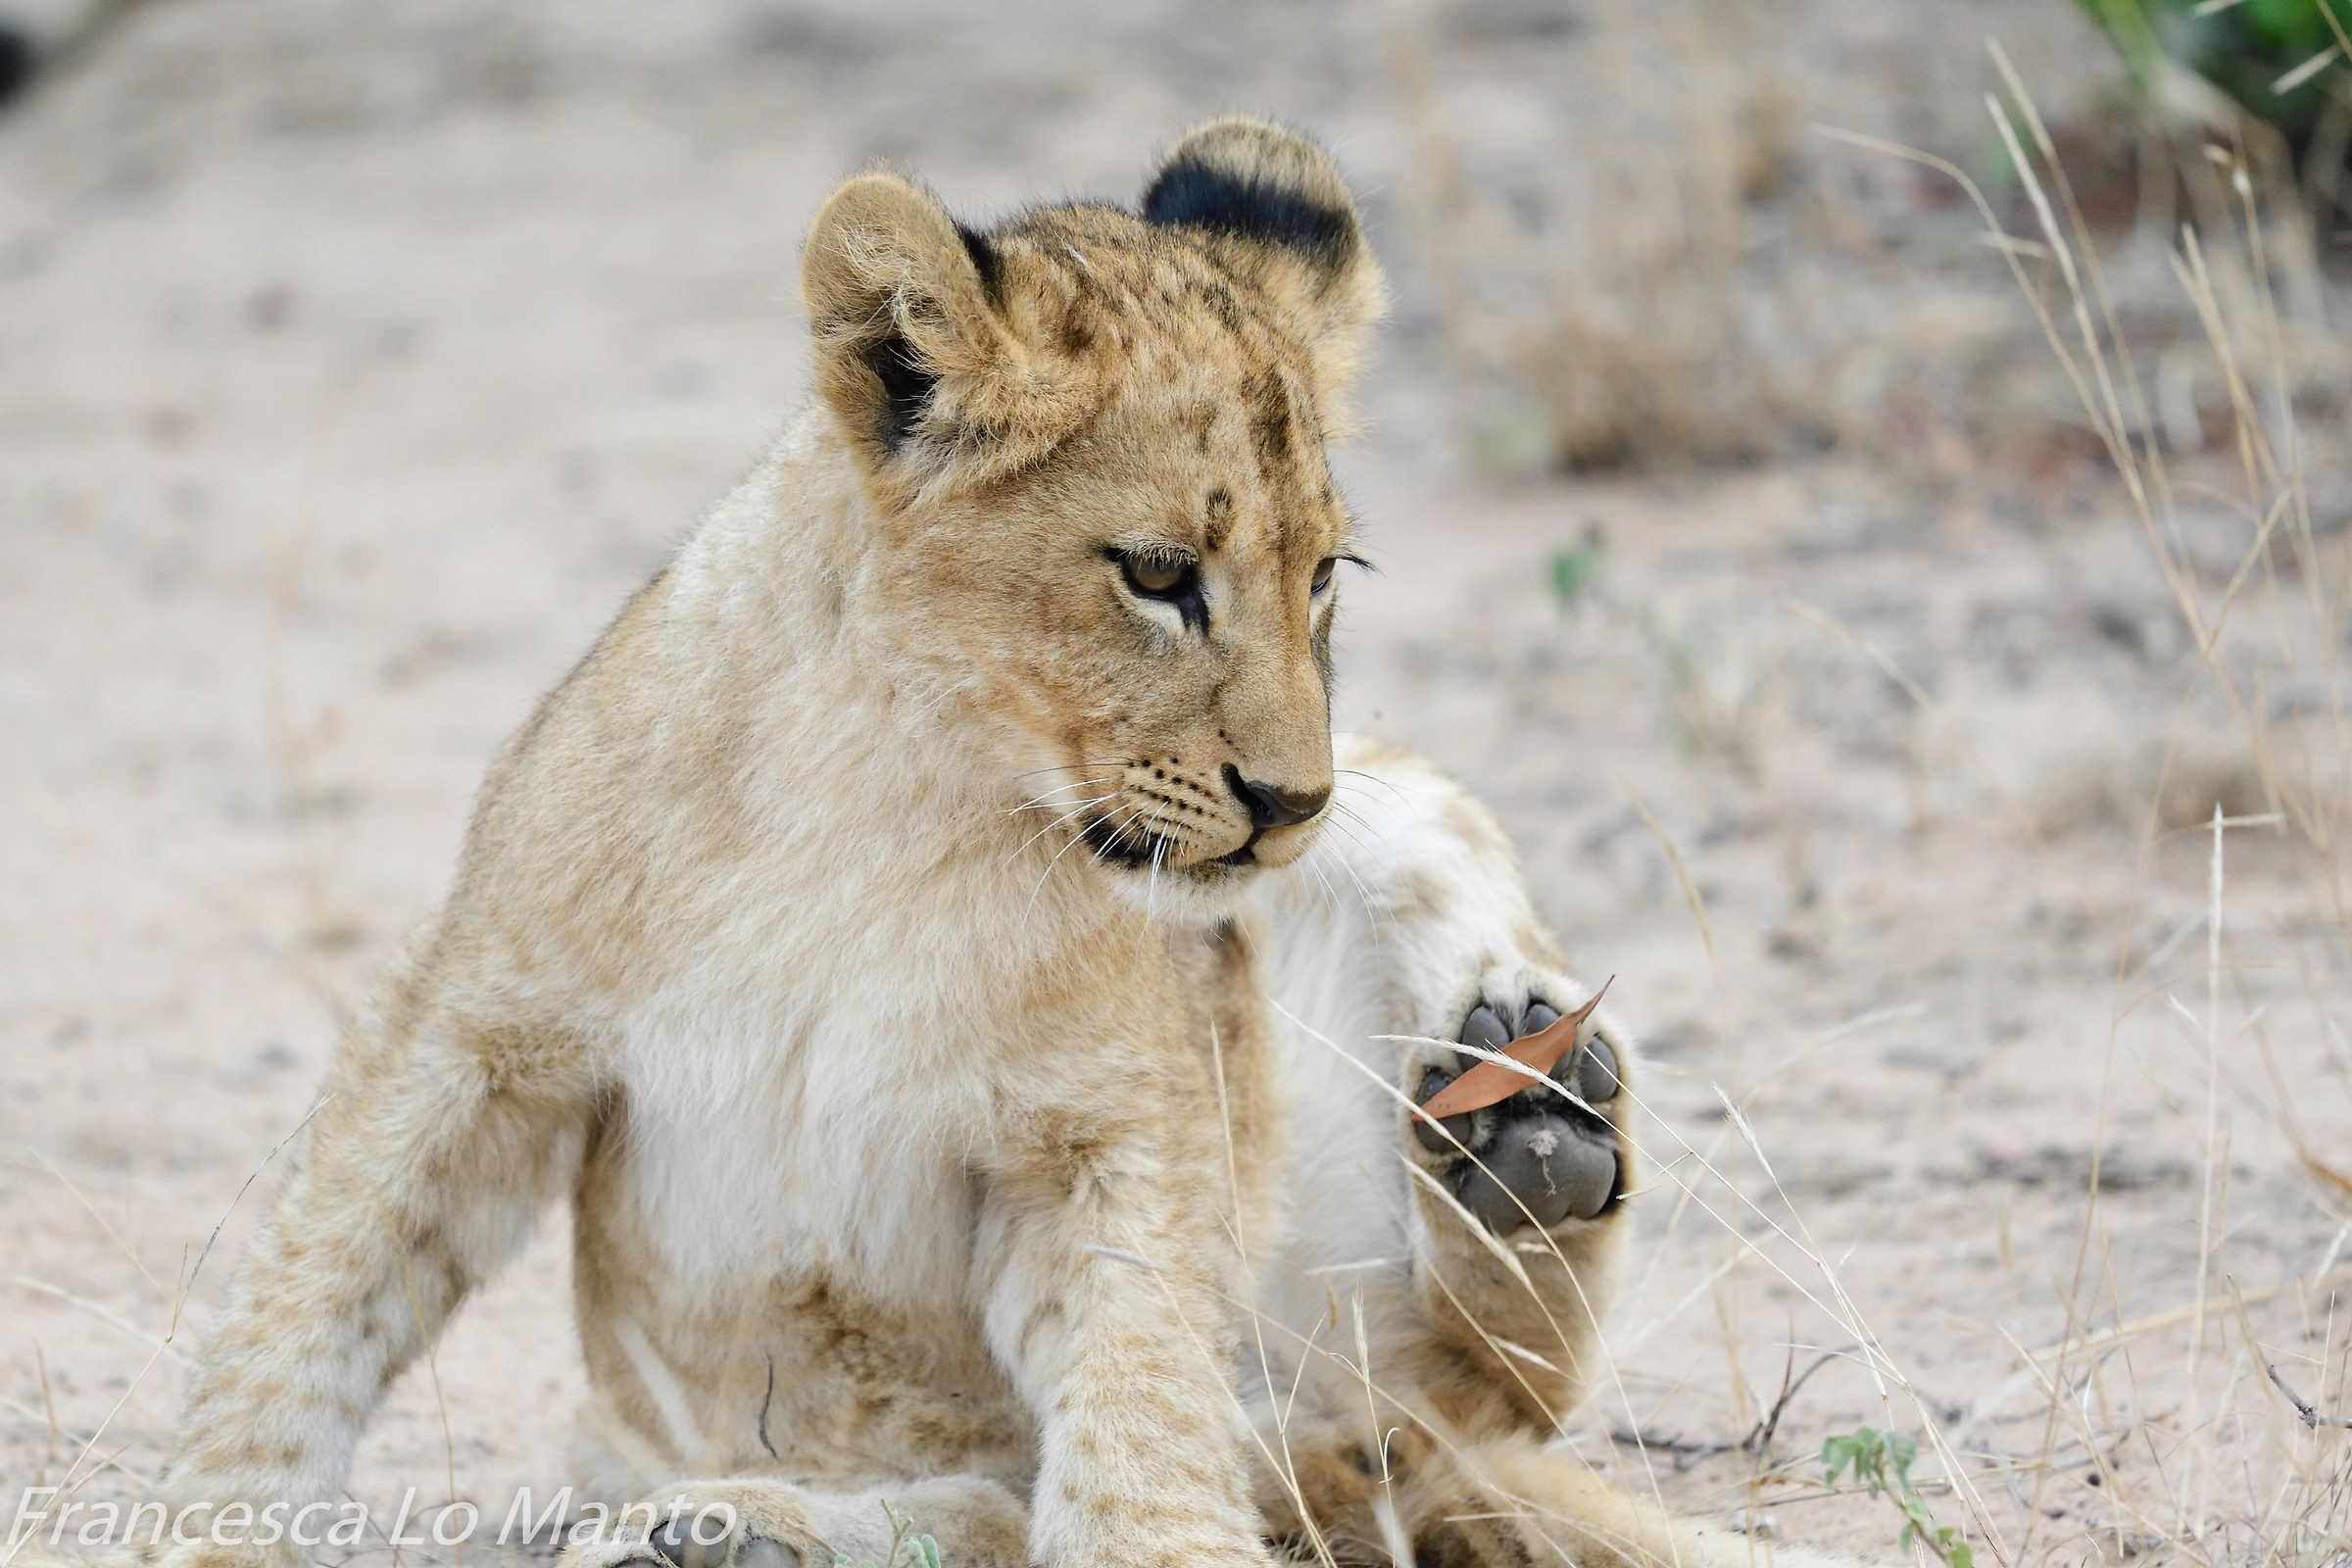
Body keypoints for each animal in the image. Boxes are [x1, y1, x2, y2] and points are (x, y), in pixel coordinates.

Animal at [145, 120, 1855, 1568]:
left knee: (1449, 1396)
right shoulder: (477, 1025)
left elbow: (1140, 1414)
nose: (1286, 806)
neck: (900, 796)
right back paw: (724, 1531)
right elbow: (308, 1303)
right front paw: (199, 1524)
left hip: (1389, 848)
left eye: (1324, 577)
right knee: (995, 1505)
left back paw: (1528, 1131)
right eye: (1158, 575)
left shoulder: (1112, 1128)